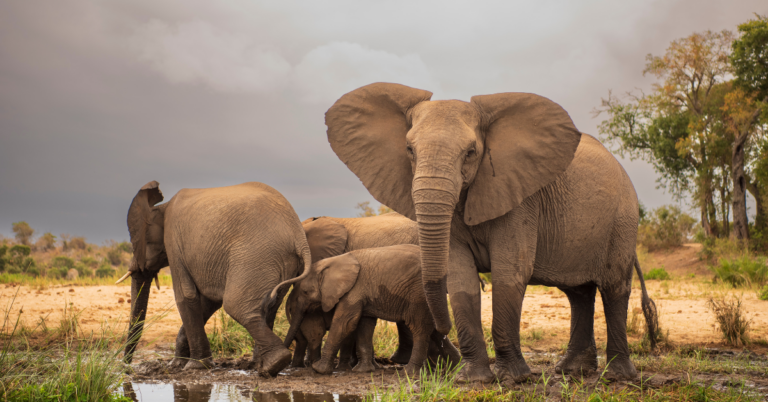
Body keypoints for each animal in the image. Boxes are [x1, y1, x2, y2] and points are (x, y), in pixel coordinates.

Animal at [121, 181, 311, 376]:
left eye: (137, 242)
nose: (126, 366)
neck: (161, 207)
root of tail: (299, 237)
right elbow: (208, 301)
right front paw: (178, 364)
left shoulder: (174, 242)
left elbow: (185, 296)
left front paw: (194, 366)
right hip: (281, 262)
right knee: (269, 306)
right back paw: (260, 366)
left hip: (256, 256)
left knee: (236, 306)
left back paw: (274, 364)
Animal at [322, 83, 658, 383]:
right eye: (409, 150)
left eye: (471, 152)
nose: (441, 334)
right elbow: (461, 278)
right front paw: (472, 379)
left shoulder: (520, 199)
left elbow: (510, 273)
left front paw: (512, 379)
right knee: (579, 293)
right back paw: (571, 372)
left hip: (623, 219)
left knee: (613, 288)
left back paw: (617, 377)